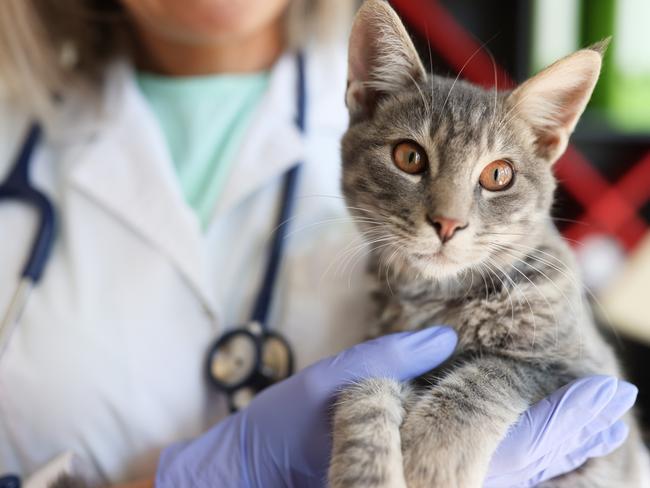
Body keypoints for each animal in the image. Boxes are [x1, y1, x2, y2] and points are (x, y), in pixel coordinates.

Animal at [326, 0, 648, 488]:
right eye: (409, 156)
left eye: (498, 175)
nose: (447, 222)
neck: (440, 299)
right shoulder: (381, 346)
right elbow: (365, 384)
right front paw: (364, 469)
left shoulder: (588, 377)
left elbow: (493, 373)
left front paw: (433, 453)